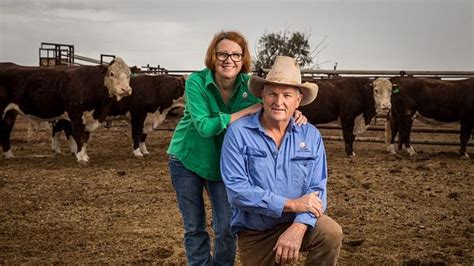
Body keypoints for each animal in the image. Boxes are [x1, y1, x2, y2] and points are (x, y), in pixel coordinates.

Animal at [0, 58, 131, 164]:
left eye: (129, 74)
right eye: (112, 73)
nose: (126, 89)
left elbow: (85, 137)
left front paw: (83, 155)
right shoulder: (76, 115)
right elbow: (79, 136)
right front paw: (82, 158)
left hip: (10, 114)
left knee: (5, 132)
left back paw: (9, 155)